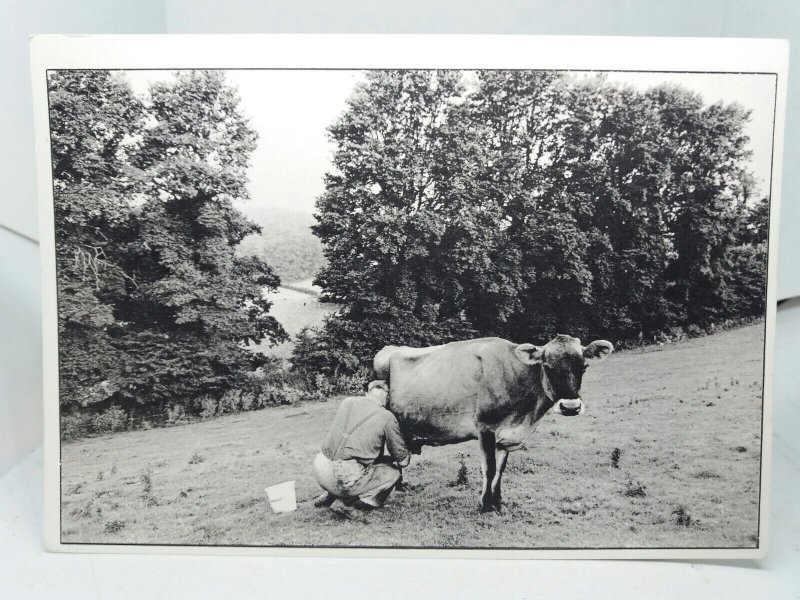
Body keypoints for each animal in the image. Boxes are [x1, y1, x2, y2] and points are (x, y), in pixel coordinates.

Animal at [374, 332, 612, 510]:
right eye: (547, 366)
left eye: (584, 367)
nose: (570, 407)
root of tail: (388, 349)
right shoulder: (485, 428)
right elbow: (489, 468)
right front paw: (486, 505)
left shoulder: (506, 434)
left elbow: (500, 468)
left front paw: (498, 501)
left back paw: (401, 485)